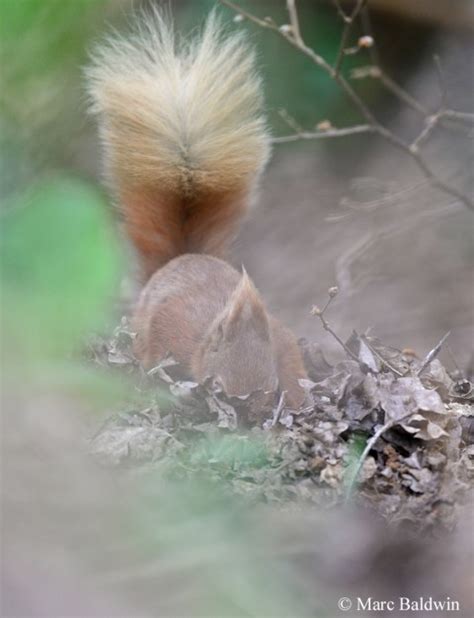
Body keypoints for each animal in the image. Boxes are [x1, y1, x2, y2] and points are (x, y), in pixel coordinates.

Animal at [86, 10, 308, 404]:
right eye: (218, 353)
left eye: (270, 387)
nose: (248, 410)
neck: (205, 337)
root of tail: (182, 257)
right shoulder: (174, 326)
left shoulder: (282, 346)